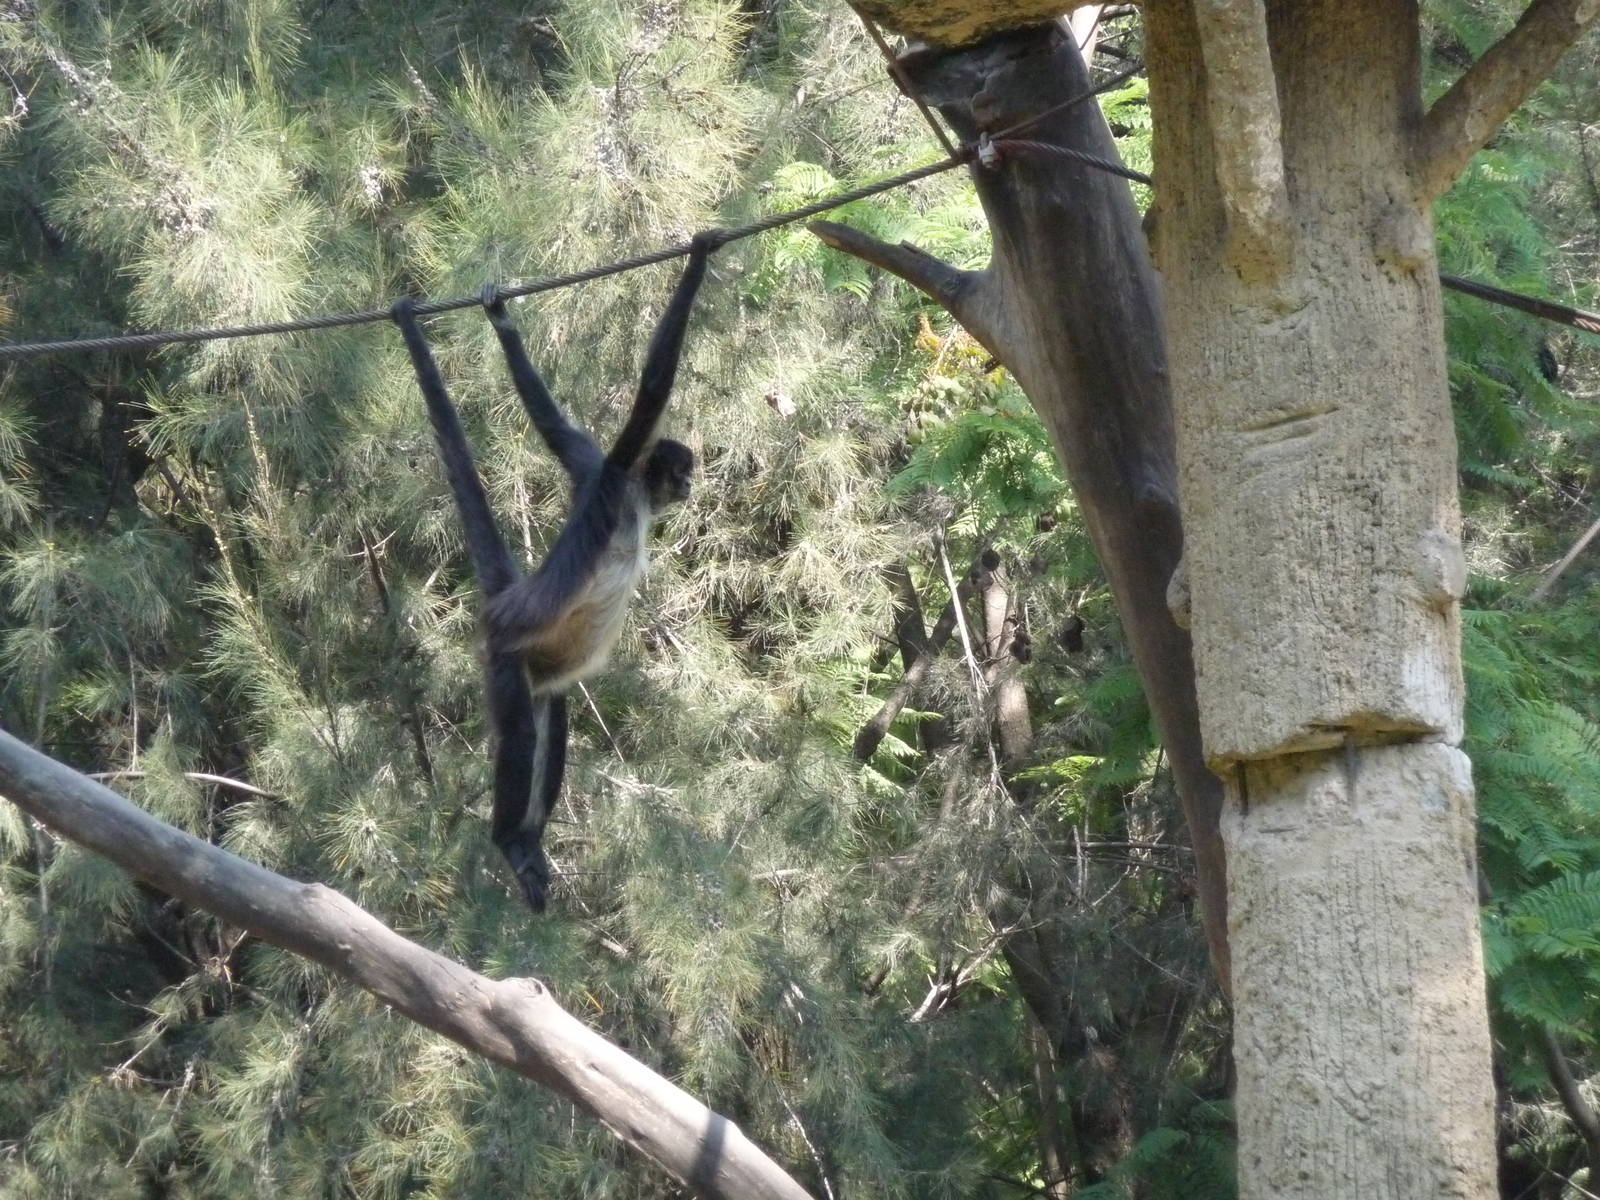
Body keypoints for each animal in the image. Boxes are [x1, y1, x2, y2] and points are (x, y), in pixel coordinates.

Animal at [390, 231, 721, 912]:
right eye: (681, 470)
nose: (691, 484)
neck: (635, 500)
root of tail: (506, 601)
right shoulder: (613, 471)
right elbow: (651, 389)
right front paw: (699, 258)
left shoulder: (589, 462)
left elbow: (554, 425)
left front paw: (501, 321)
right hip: (504, 657)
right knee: (519, 734)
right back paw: (508, 841)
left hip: (543, 671)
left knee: (556, 713)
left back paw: (532, 840)